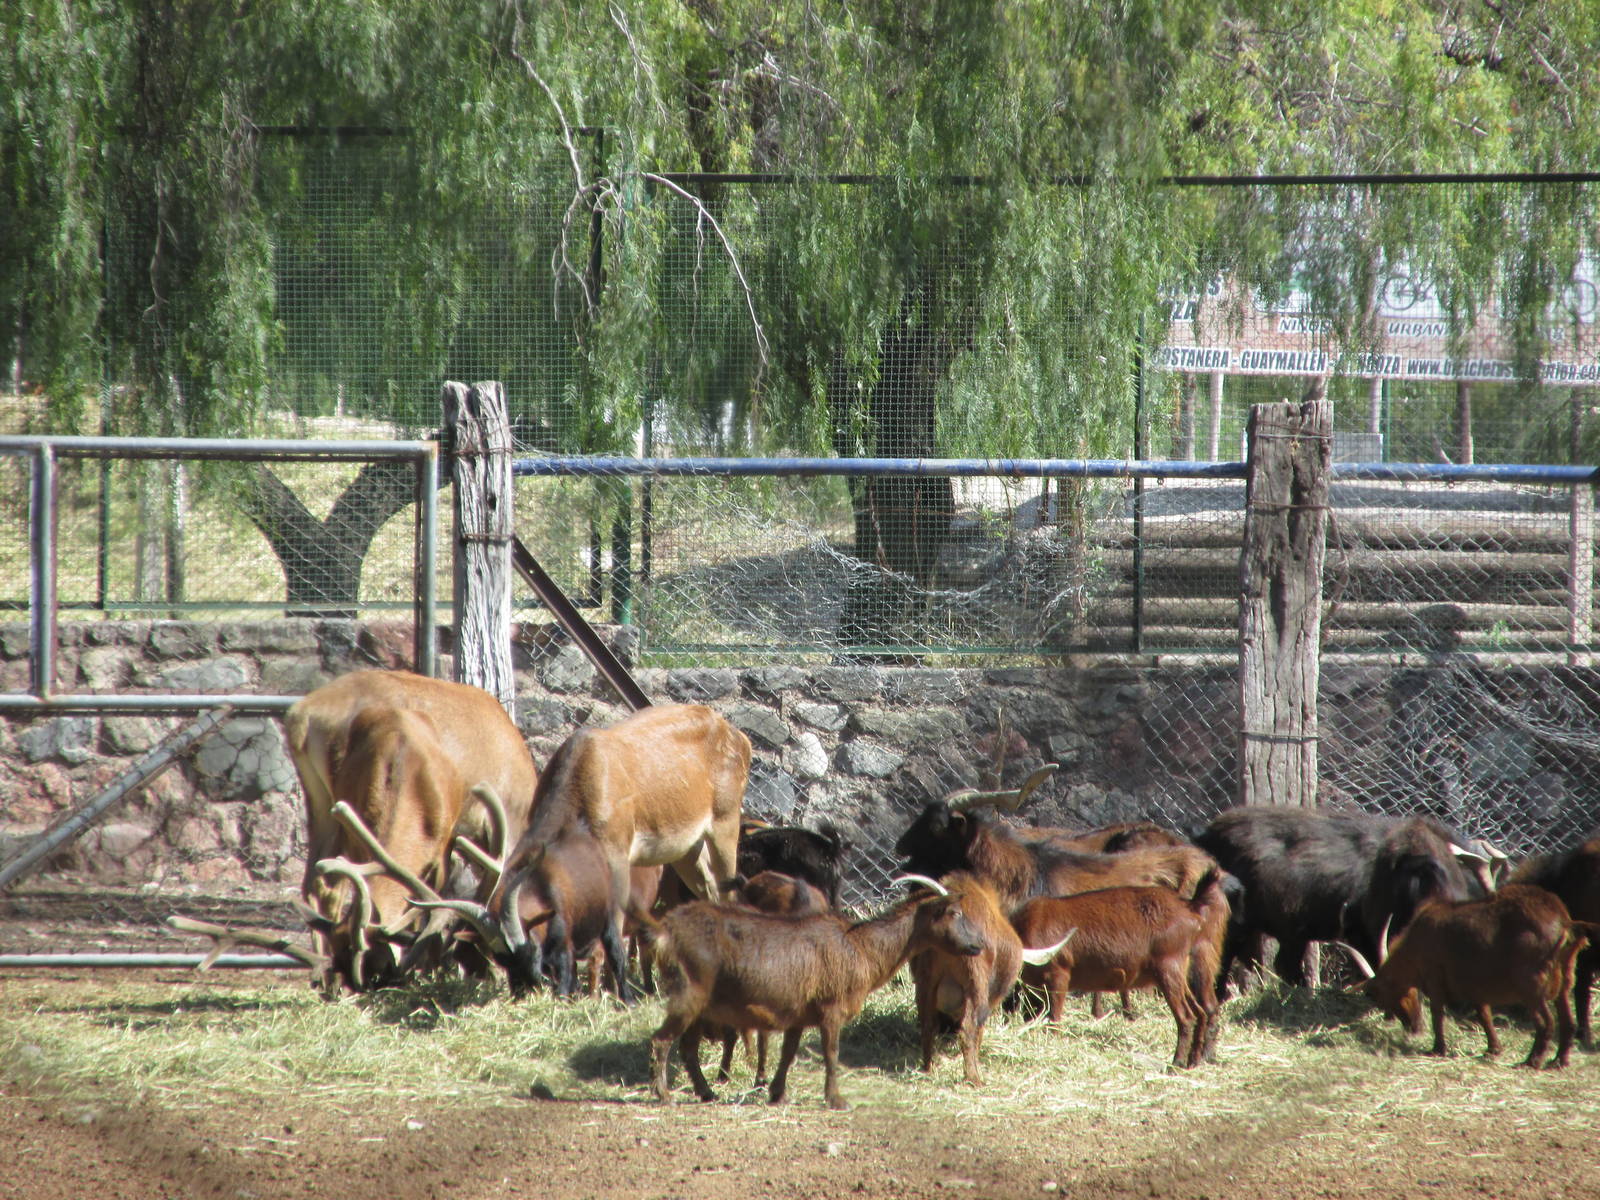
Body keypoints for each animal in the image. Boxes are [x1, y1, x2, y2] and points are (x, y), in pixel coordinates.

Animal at [642, 875, 985, 1110]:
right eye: (953, 912)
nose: (978, 944)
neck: (862, 948)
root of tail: (666, 930)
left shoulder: (798, 1015)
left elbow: (788, 1054)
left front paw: (777, 1094)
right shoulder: (832, 1010)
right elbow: (831, 1054)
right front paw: (836, 1100)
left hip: (701, 1007)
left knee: (687, 1048)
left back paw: (706, 1092)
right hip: (688, 994)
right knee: (661, 1041)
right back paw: (665, 1096)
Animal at [1013, 869, 1231, 1069]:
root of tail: (1189, 906)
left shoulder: (1059, 976)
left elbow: (1054, 1019)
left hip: (1168, 969)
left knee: (1187, 1017)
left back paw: (1177, 1063)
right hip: (1180, 972)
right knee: (1201, 1012)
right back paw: (1193, 1061)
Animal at [1340, 884, 1598, 1068]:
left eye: (1376, 994)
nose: (1411, 1027)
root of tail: (1565, 923)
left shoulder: (1435, 978)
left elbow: (1437, 1013)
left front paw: (1437, 1049)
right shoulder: (1475, 986)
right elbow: (1484, 1014)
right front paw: (1493, 1049)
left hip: (1531, 987)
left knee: (1546, 1023)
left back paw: (1531, 1061)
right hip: (1564, 982)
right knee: (1568, 1022)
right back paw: (1559, 1061)